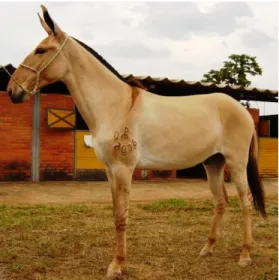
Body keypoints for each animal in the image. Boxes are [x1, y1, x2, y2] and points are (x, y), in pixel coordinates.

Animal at [4, 4, 266, 280]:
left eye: (41, 50)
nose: (12, 90)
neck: (115, 106)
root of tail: (241, 109)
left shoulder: (123, 169)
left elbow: (122, 217)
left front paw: (116, 265)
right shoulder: (110, 170)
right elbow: (115, 215)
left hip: (236, 164)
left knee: (246, 202)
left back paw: (245, 255)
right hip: (213, 163)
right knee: (220, 202)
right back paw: (207, 248)